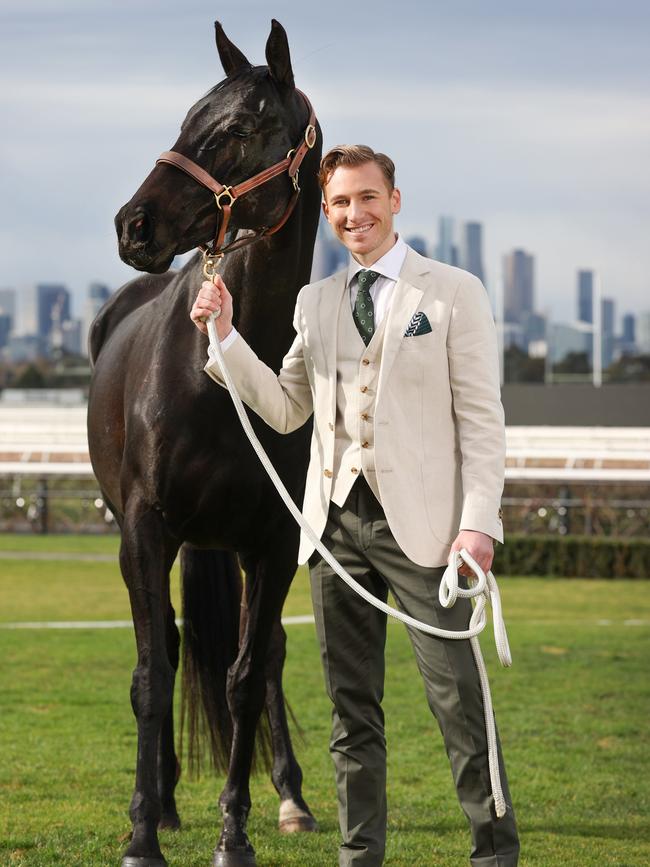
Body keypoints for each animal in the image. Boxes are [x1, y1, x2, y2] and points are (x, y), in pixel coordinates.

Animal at [88, 20, 324, 867]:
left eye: (243, 128)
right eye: (191, 115)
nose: (134, 224)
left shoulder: (276, 543)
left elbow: (249, 675)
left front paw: (237, 830)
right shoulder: (146, 528)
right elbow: (153, 675)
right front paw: (140, 833)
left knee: (261, 658)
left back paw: (291, 797)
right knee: (165, 649)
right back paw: (159, 803)